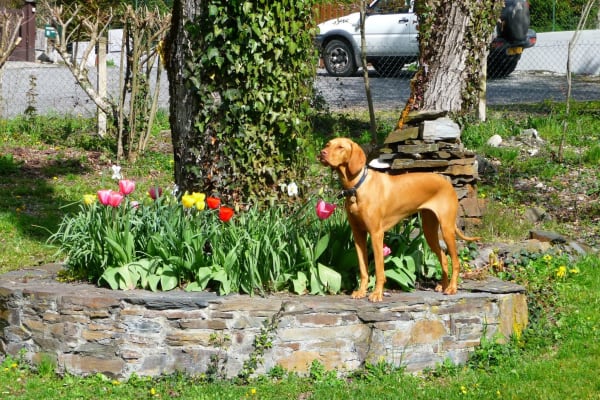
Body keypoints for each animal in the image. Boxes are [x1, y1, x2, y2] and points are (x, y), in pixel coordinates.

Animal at [322, 137, 480, 300]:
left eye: (340, 147)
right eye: (328, 144)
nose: (322, 153)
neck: (357, 187)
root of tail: (448, 183)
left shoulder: (376, 234)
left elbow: (379, 268)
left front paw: (377, 293)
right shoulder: (358, 234)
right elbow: (363, 268)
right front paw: (361, 291)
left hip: (447, 229)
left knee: (455, 261)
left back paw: (452, 288)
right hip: (429, 231)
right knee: (443, 257)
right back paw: (443, 285)